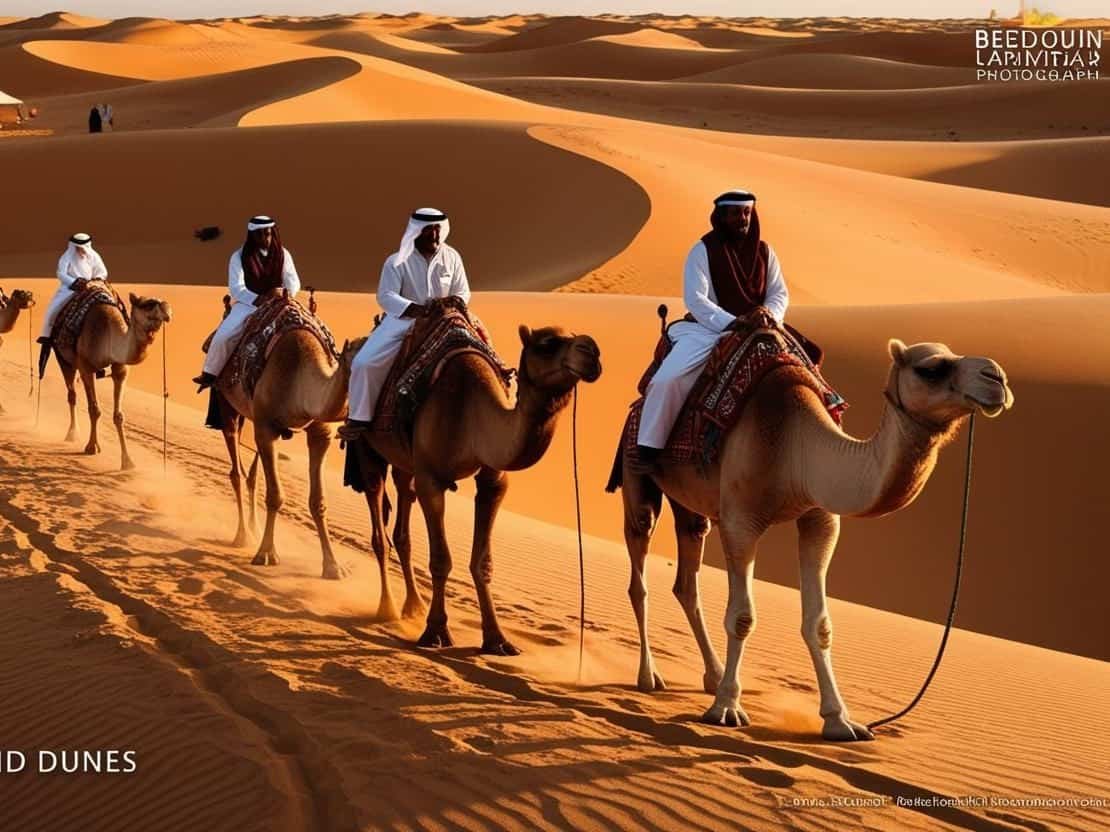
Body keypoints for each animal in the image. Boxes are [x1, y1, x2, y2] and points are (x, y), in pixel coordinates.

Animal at [54, 286, 172, 471]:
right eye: (148, 304)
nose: (167, 308)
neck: (108, 338)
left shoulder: (120, 370)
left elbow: (119, 416)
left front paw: (127, 461)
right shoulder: (86, 367)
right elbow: (94, 409)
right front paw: (91, 447)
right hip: (63, 358)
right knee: (72, 394)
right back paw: (72, 434)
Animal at [211, 298, 361, 580]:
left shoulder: (320, 432)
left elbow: (318, 501)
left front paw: (333, 566)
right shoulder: (266, 427)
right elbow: (275, 495)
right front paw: (266, 554)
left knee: (252, 475)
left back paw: (253, 528)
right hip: (227, 404)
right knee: (235, 469)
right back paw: (242, 536)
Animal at [349, 323, 601, 654]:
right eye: (547, 343)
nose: (592, 352)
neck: (470, 412)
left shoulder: (493, 478)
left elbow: (483, 562)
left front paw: (497, 639)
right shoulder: (431, 479)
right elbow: (440, 560)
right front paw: (436, 632)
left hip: (405, 462)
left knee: (402, 521)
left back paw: (413, 606)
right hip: (368, 448)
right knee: (377, 519)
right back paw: (387, 608)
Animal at [615, 335, 1013, 741]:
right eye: (931, 368)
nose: (996, 377)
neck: (794, 445)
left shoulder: (819, 518)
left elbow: (819, 623)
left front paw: (840, 721)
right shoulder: (740, 520)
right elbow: (742, 617)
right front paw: (726, 708)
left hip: (691, 507)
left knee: (686, 582)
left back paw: (712, 675)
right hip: (638, 481)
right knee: (640, 574)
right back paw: (649, 675)